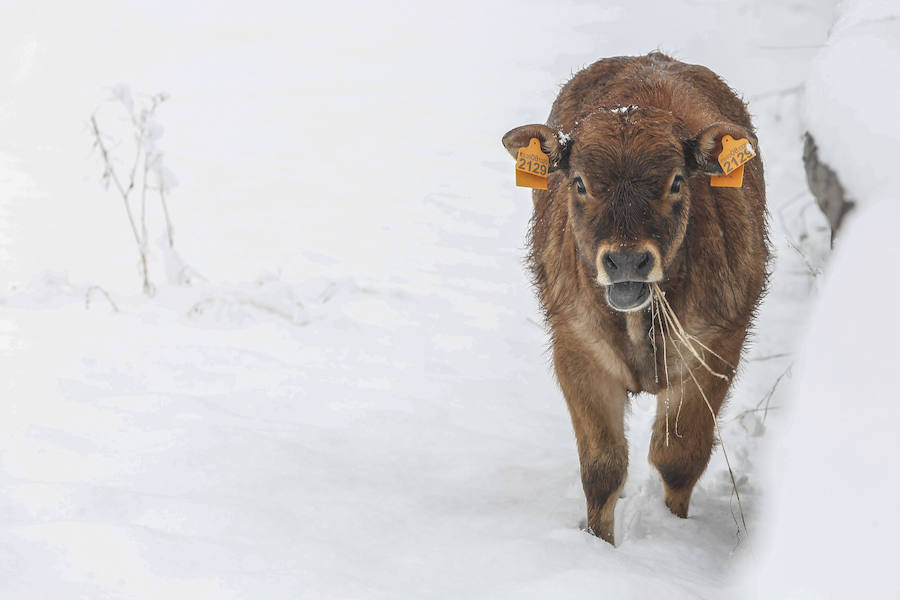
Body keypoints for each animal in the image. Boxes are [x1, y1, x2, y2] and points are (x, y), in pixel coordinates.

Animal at [500, 54, 768, 548]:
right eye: (580, 183)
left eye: (677, 181)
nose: (627, 260)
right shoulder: (577, 349)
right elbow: (603, 469)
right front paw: (599, 545)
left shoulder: (715, 349)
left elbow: (678, 457)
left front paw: (673, 533)